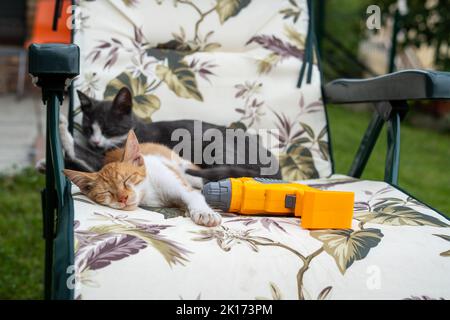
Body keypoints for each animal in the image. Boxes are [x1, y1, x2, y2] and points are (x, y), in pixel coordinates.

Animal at [64, 129, 222, 226]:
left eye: (127, 179)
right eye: (106, 192)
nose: (123, 198)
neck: (149, 191)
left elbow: (193, 195)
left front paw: (205, 213)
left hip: (185, 167)